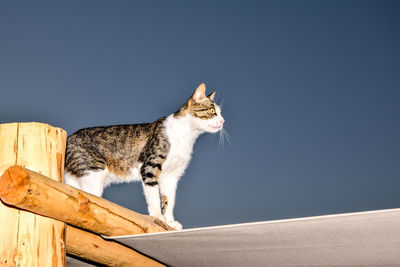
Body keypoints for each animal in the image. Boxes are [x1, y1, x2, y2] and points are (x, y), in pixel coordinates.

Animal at [64, 84, 223, 230]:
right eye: (212, 111)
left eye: (220, 113)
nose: (223, 121)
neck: (186, 136)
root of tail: (69, 138)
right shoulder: (150, 167)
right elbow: (153, 196)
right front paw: (157, 216)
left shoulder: (171, 176)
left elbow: (169, 200)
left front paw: (170, 222)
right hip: (93, 172)